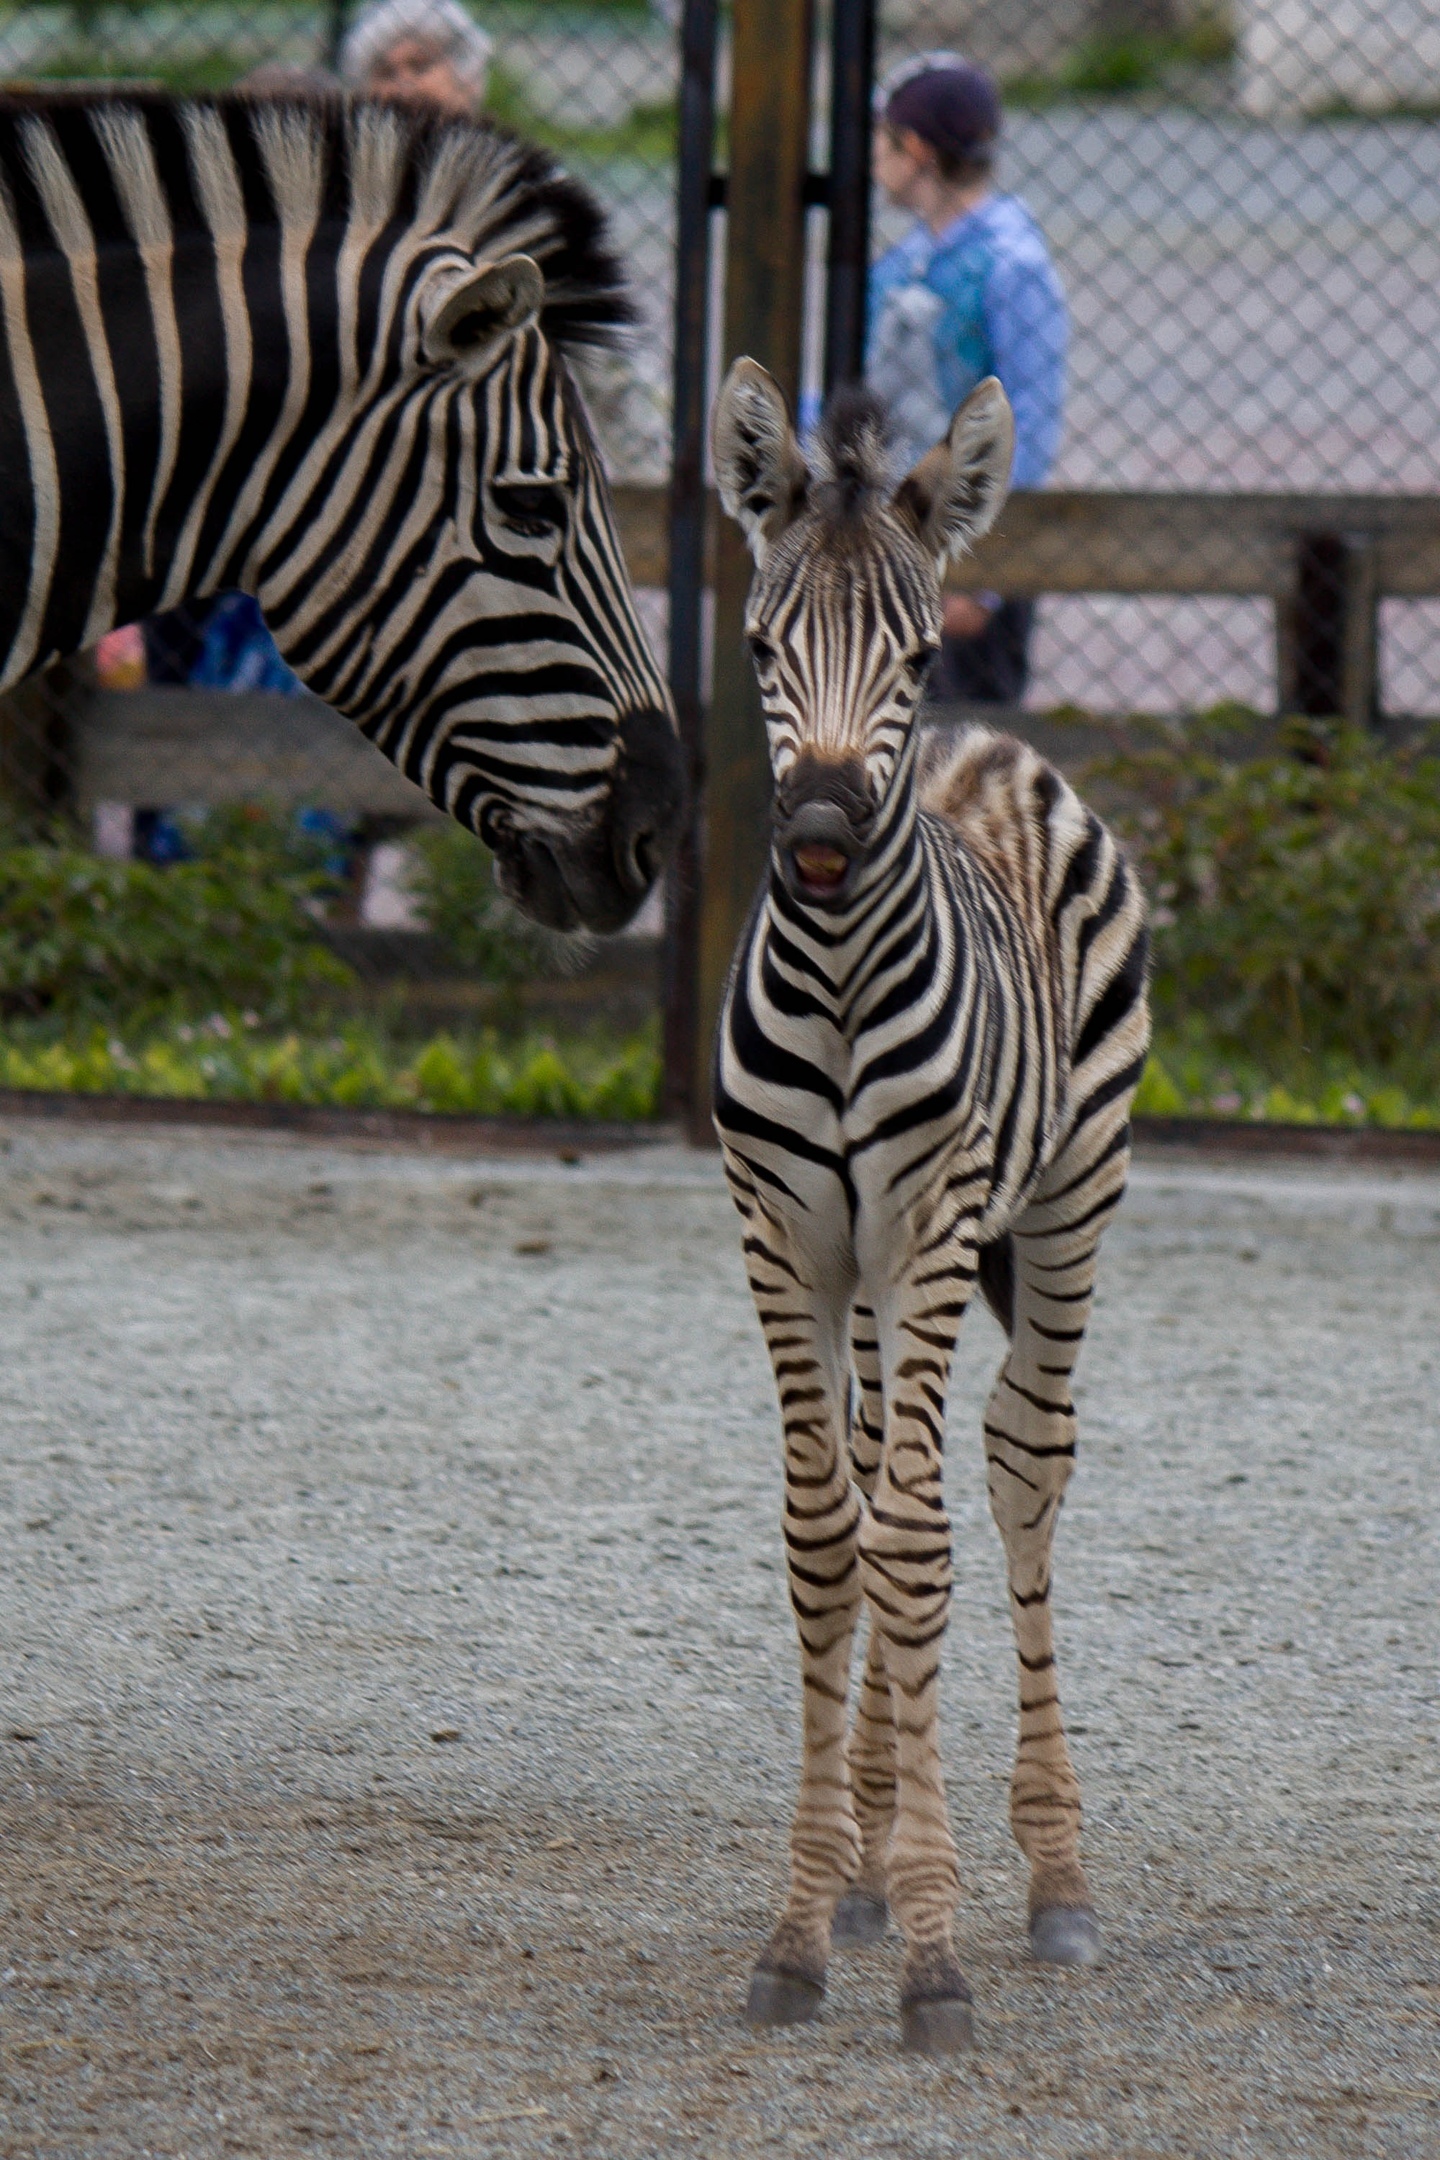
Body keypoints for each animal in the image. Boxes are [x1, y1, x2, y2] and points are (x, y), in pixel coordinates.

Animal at [708, 367, 1148, 2056]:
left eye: (907, 650)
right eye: (763, 647)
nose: (825, 837)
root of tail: (989, 745)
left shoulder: (937, 1225)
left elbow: (911, 1548)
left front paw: (938, 1947)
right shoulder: (784, 1239)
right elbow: (830, 1541)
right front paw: (809, 1915)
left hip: (1066, 1203)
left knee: (1019, 1466)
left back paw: (1055, 1873)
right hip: (886, 1276)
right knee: (889, 1471)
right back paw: (876, 1850)